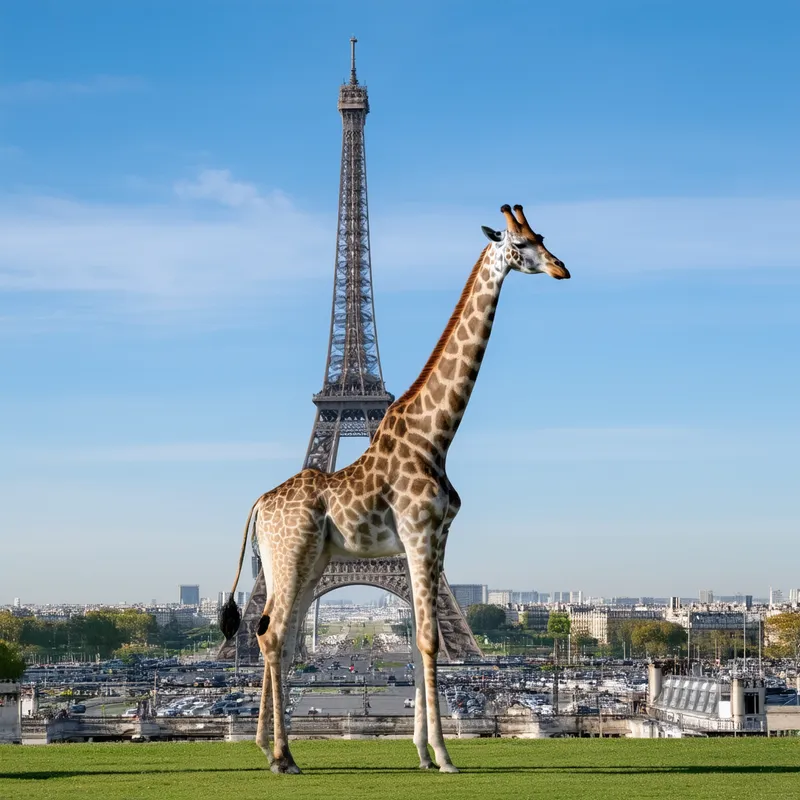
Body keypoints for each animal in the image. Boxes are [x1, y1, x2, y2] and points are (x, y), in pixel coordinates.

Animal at [220, 204, 569, 774]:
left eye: (541, 234)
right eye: (519, 244)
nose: (562, 268)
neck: (436, 434)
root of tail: (260, 502)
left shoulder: (434, 539)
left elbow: (429, 637)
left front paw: (423, 751)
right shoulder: (418, 532)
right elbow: (426, 640)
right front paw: (443, 756)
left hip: (302, 562)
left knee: (281, 640)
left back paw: (271, 748)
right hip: (291, 559)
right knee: (271, 636)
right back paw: (282, 754)